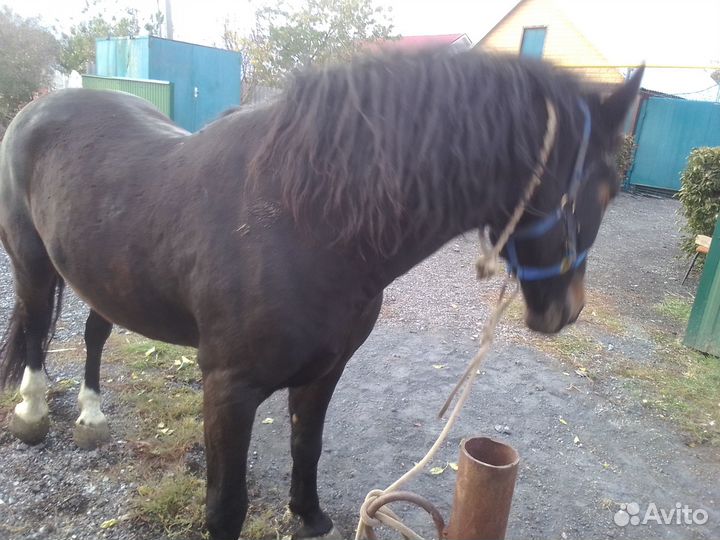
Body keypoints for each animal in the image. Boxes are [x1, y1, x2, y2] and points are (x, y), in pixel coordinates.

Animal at [0, 50, 642, 540]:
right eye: (606, 188)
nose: (569, 310)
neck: (302, 221)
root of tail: (36, 107)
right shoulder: (228, 388)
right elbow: (225, 504)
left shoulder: (326, 369)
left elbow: (307, 445)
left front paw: (307, 517)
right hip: (32, 263)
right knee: (33, 326)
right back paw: (33, 412)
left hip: (100, 276)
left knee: (92, 333)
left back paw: (91, 418)